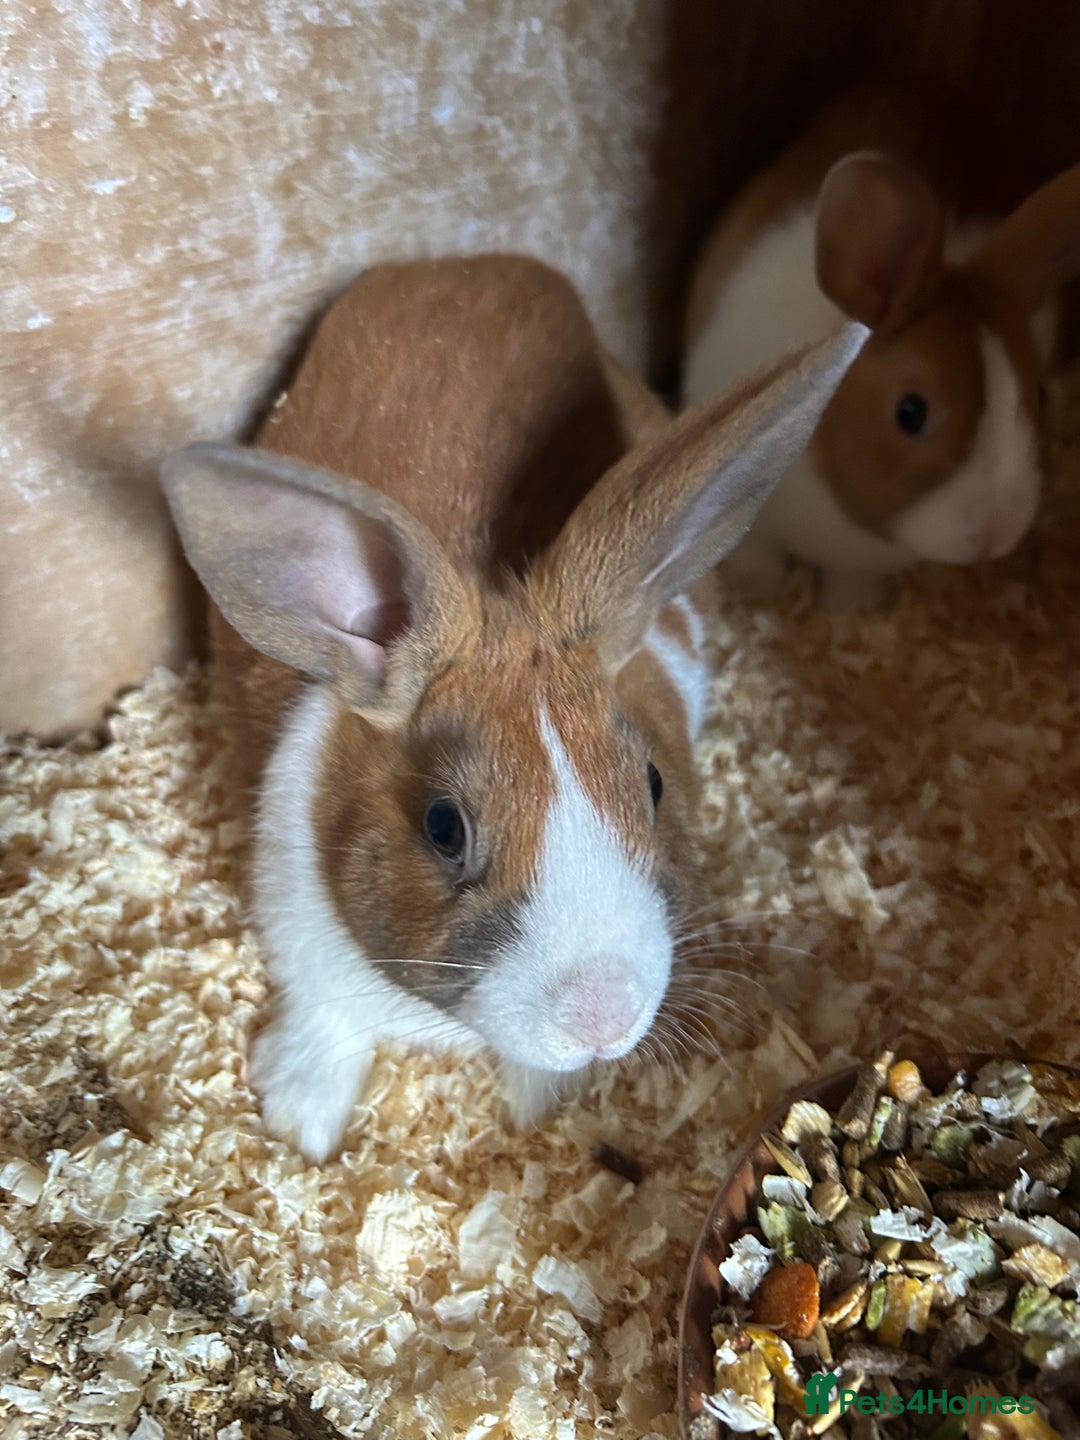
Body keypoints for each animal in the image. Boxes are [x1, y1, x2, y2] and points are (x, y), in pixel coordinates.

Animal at [162, 254, 864, 1162]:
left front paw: (541, 1103)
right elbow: (325, 1022)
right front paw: (300, 1121)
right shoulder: (300, 937)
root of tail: (473, 263)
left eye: (652, 784)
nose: (602, 1018)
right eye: (443, 827)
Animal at [683, 83, 1080, 608]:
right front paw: (758, 595)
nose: (996, 533)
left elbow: (847, 595)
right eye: (910, 412)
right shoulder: (742, 519)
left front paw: (838, 617)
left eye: (1040, 395)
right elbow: (757, 558)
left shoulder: (858, 568)